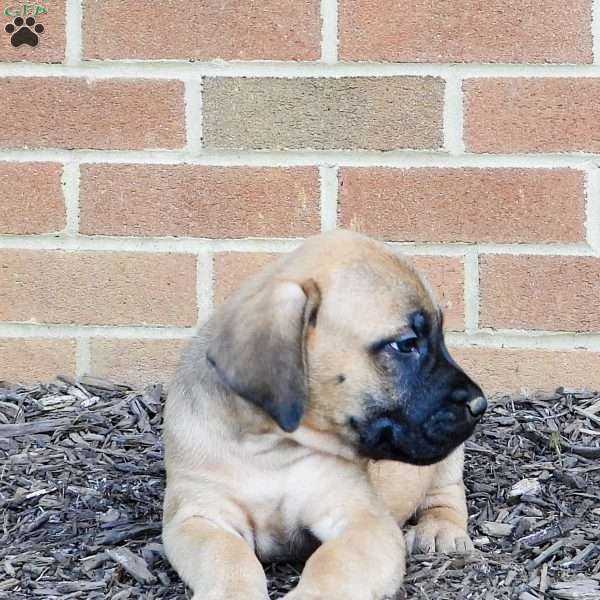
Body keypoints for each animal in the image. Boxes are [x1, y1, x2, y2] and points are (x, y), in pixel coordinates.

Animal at [163, 231, 488, 600]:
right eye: (406, 344)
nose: (479, 404)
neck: (269, 447)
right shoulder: (199, 517)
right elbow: (227, 555)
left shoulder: (362, 519)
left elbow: (334, 563)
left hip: (447, 463)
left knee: (446, 493)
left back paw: (439, 529)